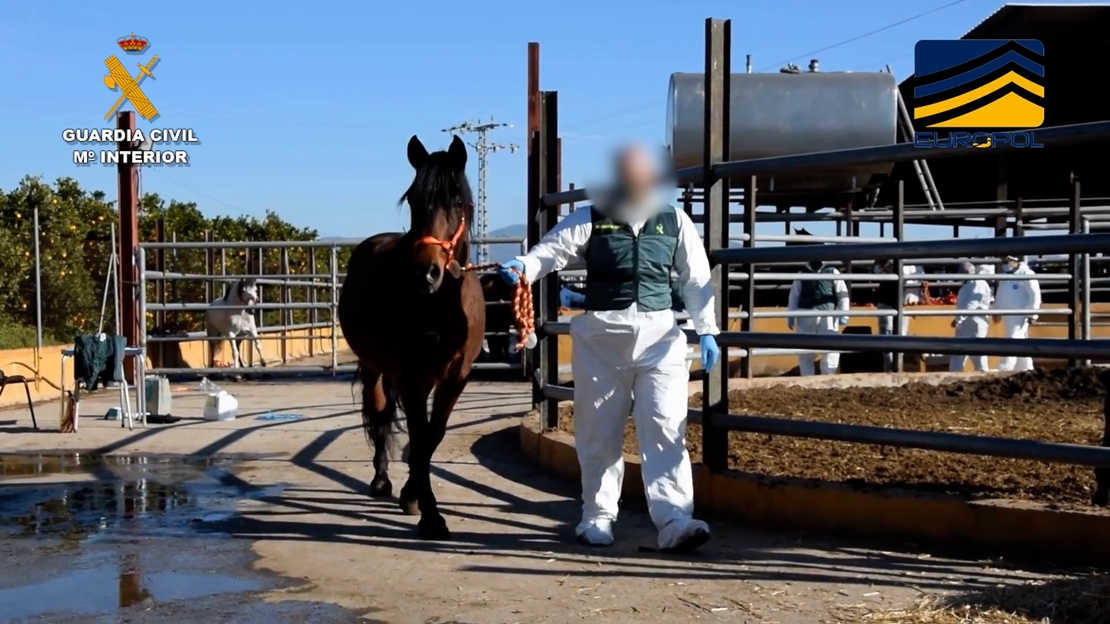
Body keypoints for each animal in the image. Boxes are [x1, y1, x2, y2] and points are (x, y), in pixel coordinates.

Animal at [337, 136, 486, 539]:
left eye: (458, 201)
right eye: (414, 201)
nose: (426, 274)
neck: (440, 307)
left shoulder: (455, 377)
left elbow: (432, 437)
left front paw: (415, 496)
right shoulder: (411, 376)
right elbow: (418, 436)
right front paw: (431, 515)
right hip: (374, 367)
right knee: (380, 415)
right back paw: (381, 480)